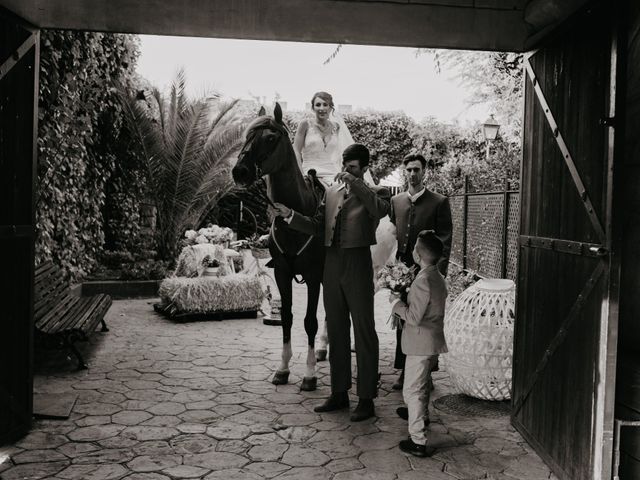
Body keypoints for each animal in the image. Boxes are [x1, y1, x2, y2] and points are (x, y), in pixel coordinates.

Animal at [231, 104, 324, 390]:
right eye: (247, 135)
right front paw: (283, 368)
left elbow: (310, 322)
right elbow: (287, 318)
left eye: (271, 138)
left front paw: (309, 373)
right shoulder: (282, 273)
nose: (240, 171)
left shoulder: (314, 276)